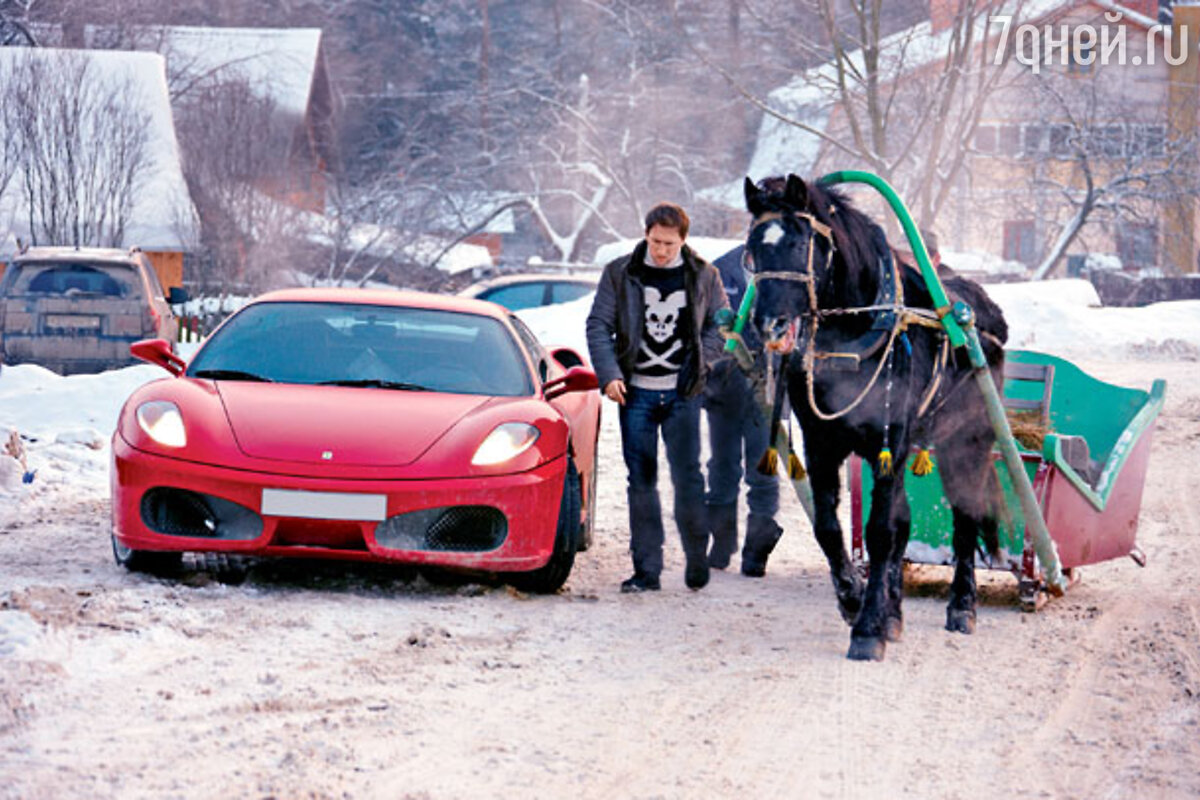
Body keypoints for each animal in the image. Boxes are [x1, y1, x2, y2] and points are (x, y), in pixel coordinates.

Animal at [744, 175, 1008, 662]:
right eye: (753, 247)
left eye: (800, 242)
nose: (770, 323)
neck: (852, 339)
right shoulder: (822, 443)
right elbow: (831, 528)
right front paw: (854, 599)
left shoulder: (892, 442)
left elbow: (881, 531)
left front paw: (868, 629)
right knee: (906, 524)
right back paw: (895, 612)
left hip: (968, 441)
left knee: (965, 517)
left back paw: (962, 605)